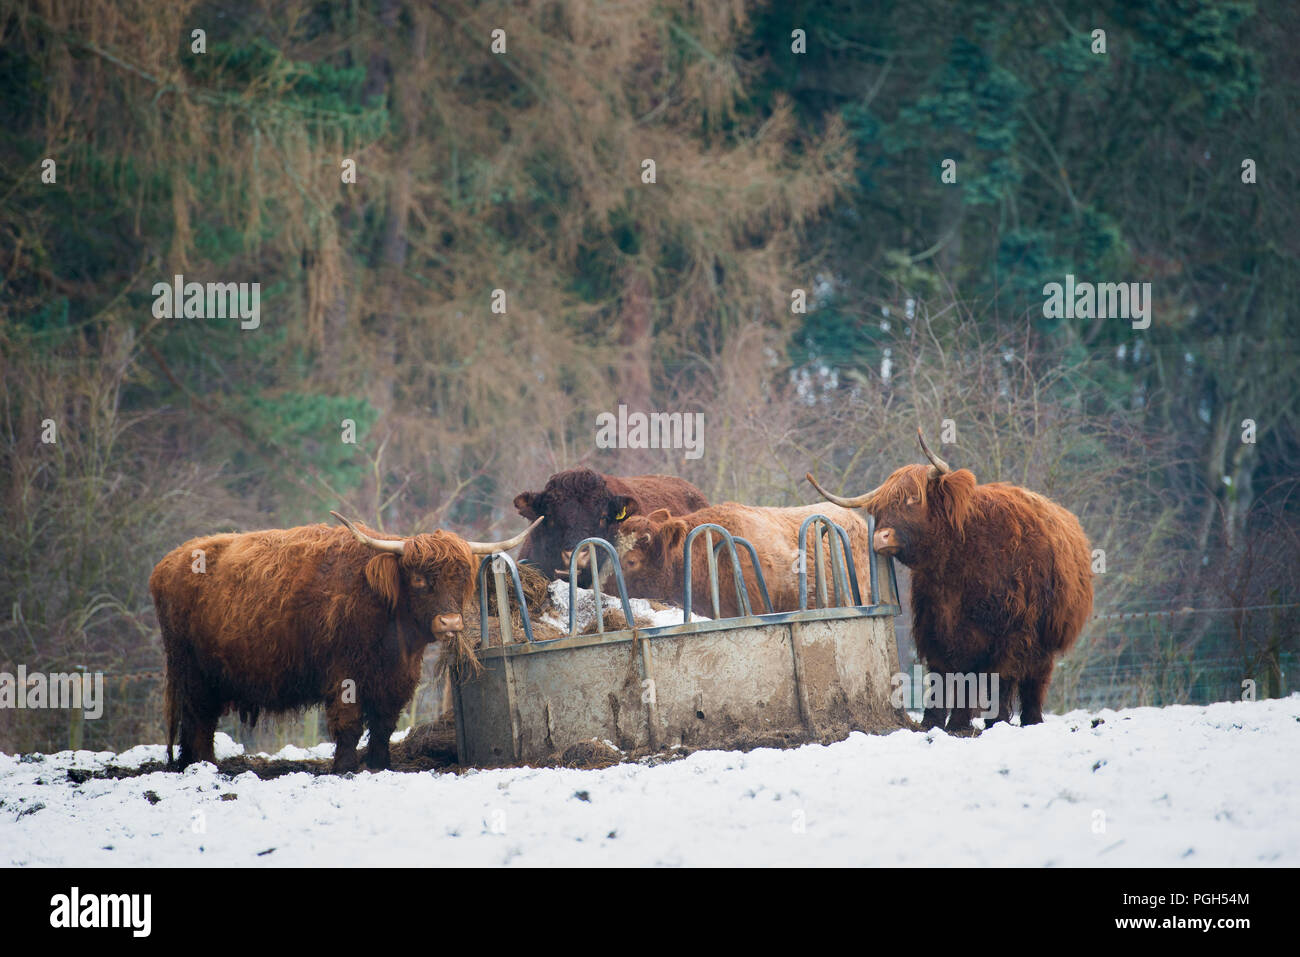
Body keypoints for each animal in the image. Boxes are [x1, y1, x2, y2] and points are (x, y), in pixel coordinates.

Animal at [150, 511, 541, 772]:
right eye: (418, 579)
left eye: (461, 577)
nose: (450, 622)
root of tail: (169, 562)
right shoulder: (344, 674)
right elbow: (349, 723)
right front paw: (345, 767)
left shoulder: (397, 678)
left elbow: (384, 724)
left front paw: (380, 764)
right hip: (192, 669)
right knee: (198, 718)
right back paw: (203, 766)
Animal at [807, 428, 1093, 731]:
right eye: (880, 507)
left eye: (914, 499)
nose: (880, 537)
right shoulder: (936, 627)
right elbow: (944, 674)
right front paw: (938, 722)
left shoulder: (1011, 630)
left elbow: (998, 677)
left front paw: (989, 721)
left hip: (1046, 635)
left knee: (1035, 678)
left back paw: (1030, 720)